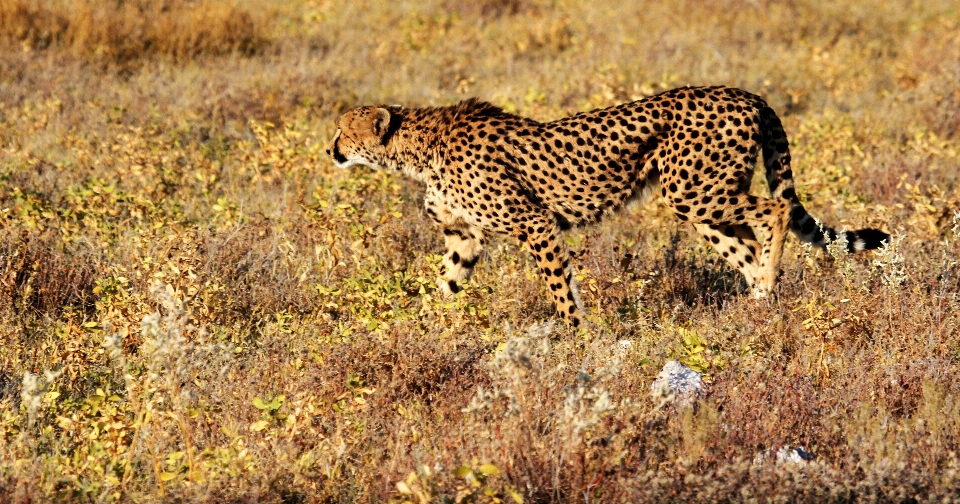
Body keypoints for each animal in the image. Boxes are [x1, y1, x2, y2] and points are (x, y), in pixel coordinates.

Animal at [326, 87, 888, 328]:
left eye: (342, 130)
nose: (330, 150)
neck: (417, 149)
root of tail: (744, 92)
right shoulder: (464, 236)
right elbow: (446, 284)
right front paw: (416, 329)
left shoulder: (535, 223)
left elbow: (561, 292)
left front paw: (576, 339)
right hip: (698, 202)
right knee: (747, 245)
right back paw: (758, 305)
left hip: (695, 188)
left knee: (774, 212)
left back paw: (768, 286)